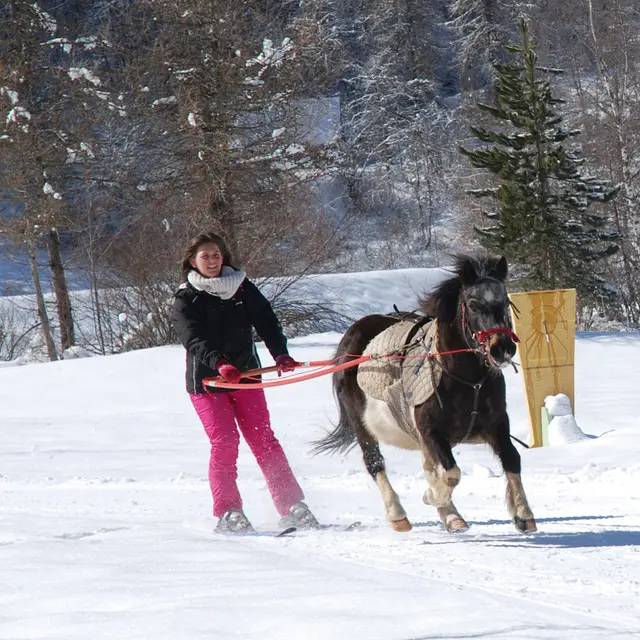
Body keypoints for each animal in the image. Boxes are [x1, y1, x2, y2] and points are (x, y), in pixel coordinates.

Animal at [314, 255, 536, 536]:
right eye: (473, 305)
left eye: (505, 302)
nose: (502, 348)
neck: (468, 382)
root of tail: (352, 336)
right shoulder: (431, 430)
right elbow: (451, 474)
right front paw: (431, 496)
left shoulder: (496, 425)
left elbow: (511, 459)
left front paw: (523, 514)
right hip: (362, 425)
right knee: (375, 463)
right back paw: (399, 515)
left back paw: (452, 517)